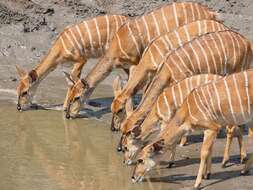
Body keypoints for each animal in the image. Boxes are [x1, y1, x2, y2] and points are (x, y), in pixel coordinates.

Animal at [63, 1, 217, 119]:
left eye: (77, 97)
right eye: (70, 95)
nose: (69, 115)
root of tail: (211, 13)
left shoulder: (136, 62)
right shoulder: (127, 65)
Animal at [119, 30, 253, 151]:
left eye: (127, 133)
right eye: (122, 130)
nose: (119, 148)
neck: (167, 69)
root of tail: (247, 42)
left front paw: (182, 142)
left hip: (238, 69)